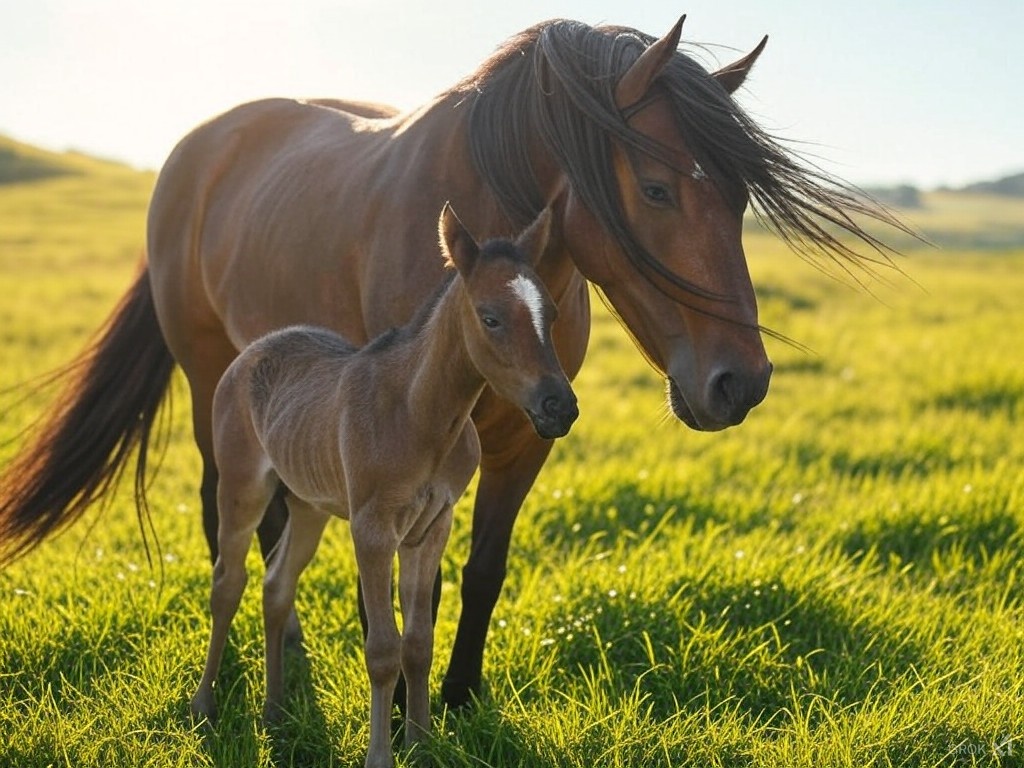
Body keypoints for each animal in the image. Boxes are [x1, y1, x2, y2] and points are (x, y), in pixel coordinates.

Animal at [0, 16, 906, 708]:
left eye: (741, 197)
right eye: (655, 189)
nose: (741, 382)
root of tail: (199, 147)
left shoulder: (524, 442)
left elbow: (480, 573)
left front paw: (459, 697)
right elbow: (411, 587)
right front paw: (404, 701)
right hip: (210, 383)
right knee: (232, 515)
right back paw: (284, 652)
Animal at [190, 203, 576, 768]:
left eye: (552, 312)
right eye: (491, 318)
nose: (560, 406)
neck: (421, 416)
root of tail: (250, 352)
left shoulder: (433, 526)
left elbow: (418, 642)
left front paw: (421, 743)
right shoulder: (372, 529)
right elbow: (382, 648)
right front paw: (381, 755)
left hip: (309, 503)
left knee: (276, 585)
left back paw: (275, 710)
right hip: (242, 485)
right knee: (227, 582)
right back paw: (204, 703)